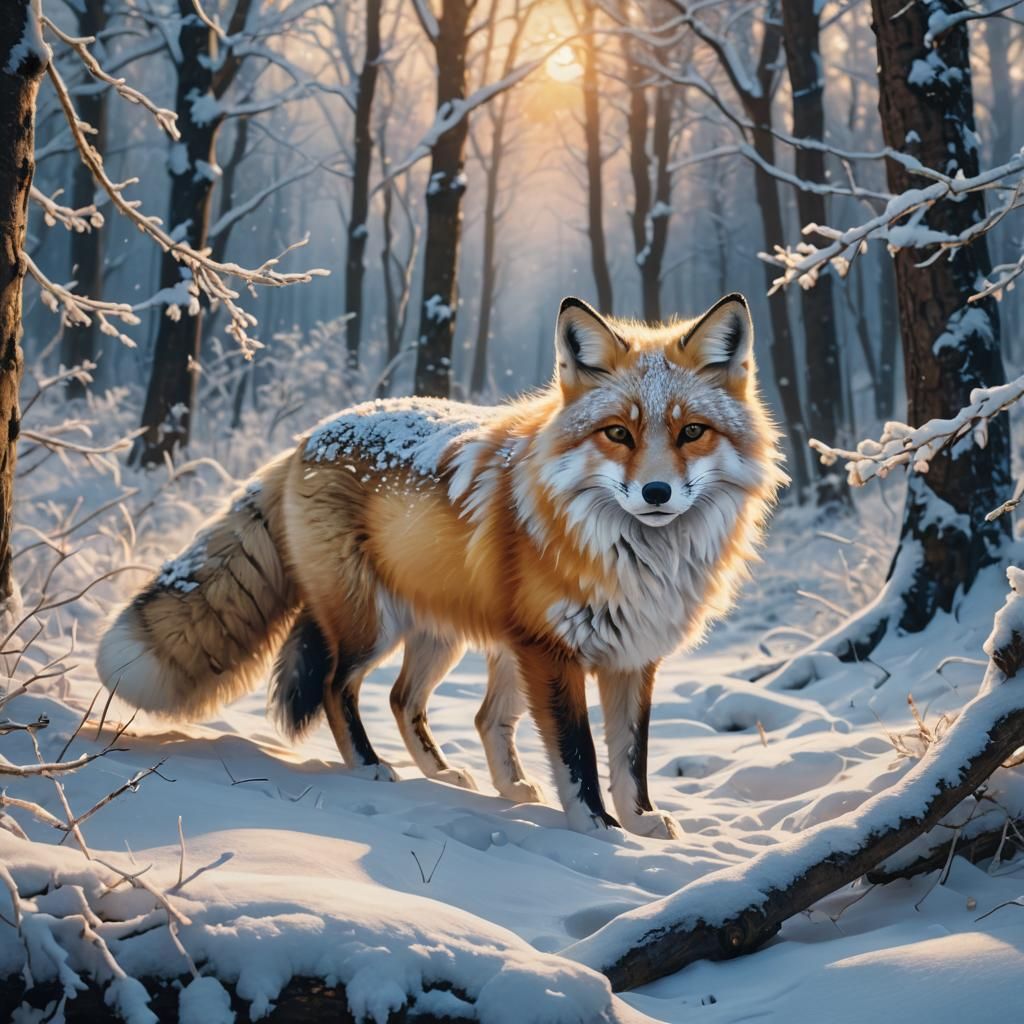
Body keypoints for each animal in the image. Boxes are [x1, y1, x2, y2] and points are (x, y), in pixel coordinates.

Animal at [97, 293, 785, 839]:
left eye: (692, 432)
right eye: (618, 433)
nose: (656, 494)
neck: (636, 560)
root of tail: (307, 437)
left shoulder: (631, 655)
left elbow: (630, 756)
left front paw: (640, 823)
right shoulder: (553, 651)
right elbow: (579, 754)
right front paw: (598, 829)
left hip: (456, 637)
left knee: (425, 705)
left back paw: (463, 780)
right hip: (376, 626)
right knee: (338, 687)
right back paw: (372, 769)